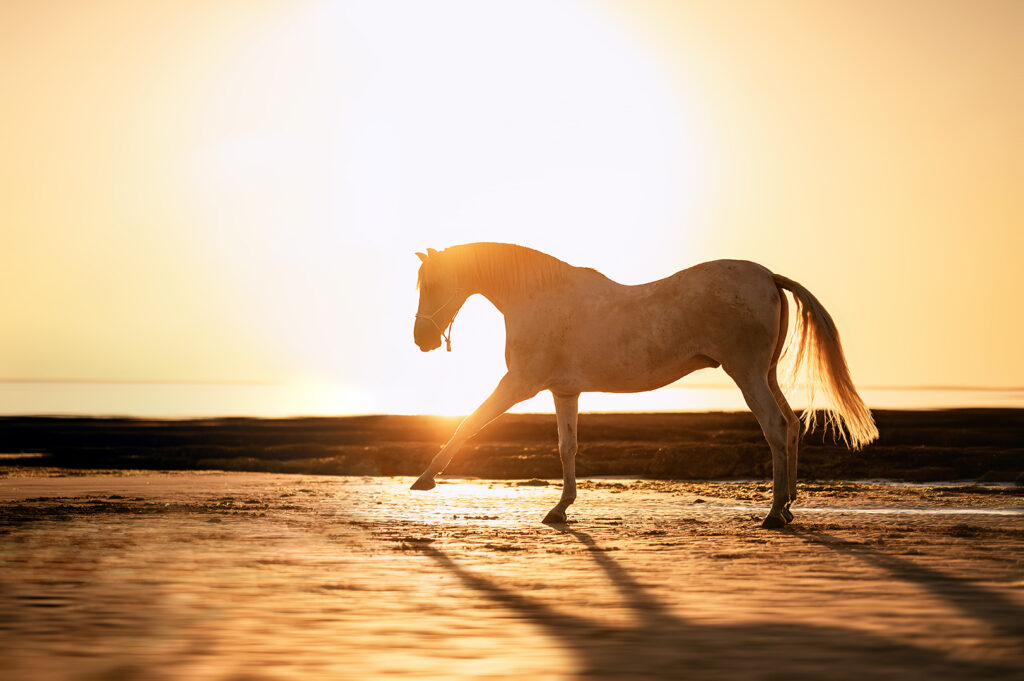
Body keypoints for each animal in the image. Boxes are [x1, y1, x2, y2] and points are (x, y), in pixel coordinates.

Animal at [411, 241, 876, 528]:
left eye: (432, 283)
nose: (422, 339)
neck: (539, 298)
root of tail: (769, 277)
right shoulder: (564, 392)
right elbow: (567, 447)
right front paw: (561, 508)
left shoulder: (519, 384)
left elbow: (468, 424)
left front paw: (425, 479)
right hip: (766, 374)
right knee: (792, 425)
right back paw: (791, 505)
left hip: (746, 376)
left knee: (776, 429)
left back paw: (776, 513)